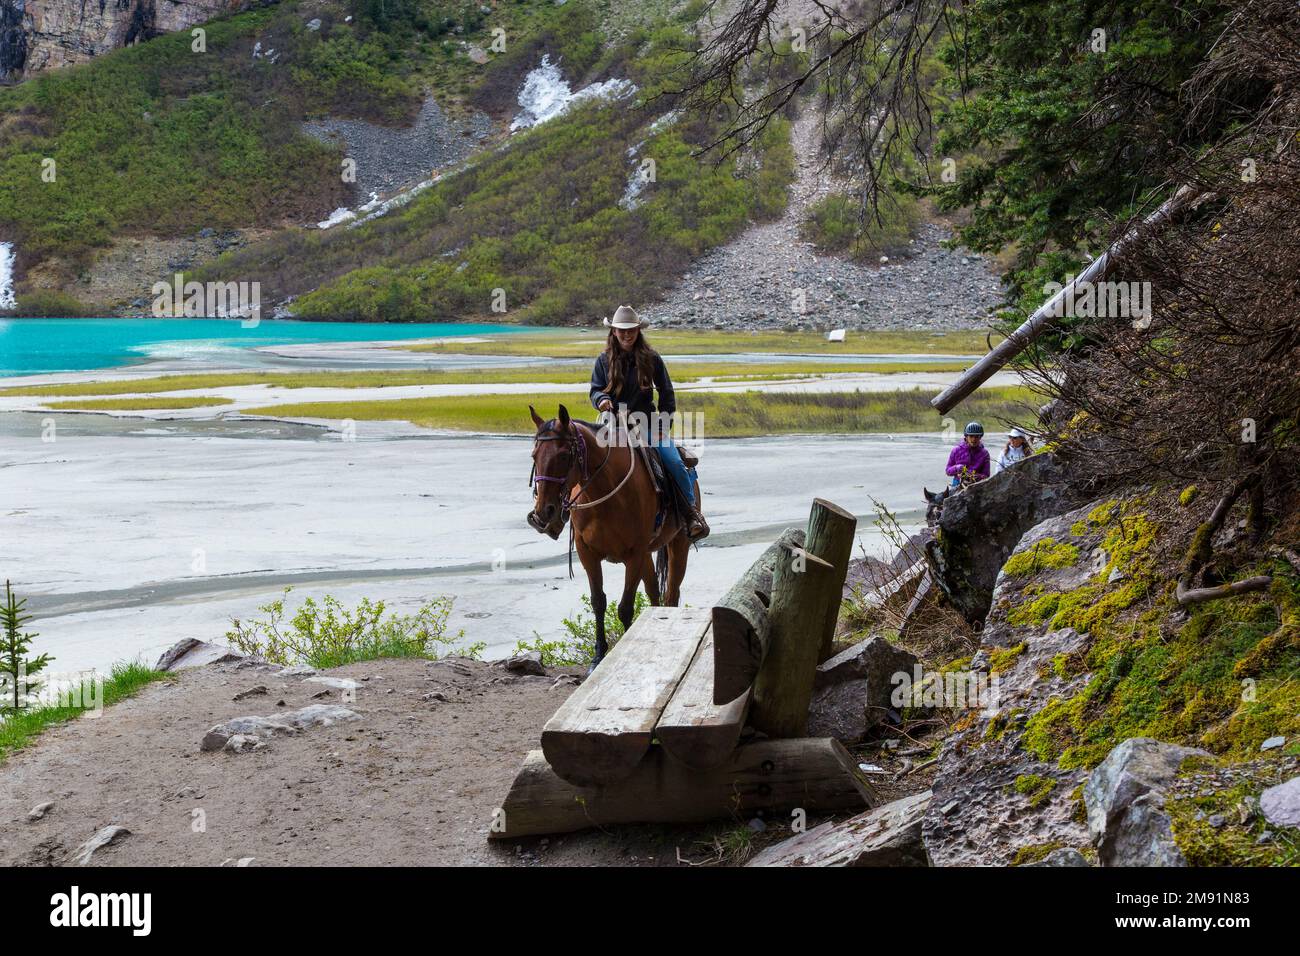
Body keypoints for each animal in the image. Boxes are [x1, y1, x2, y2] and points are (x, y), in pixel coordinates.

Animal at [526, 403, 696, 666]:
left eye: (564, 456)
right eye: (535, 455)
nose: (544, 512)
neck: (606, 493)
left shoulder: (634, 555)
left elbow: (625, 608)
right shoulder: (588, 553)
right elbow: (598, 602)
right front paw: (598, 656)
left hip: (679, 545)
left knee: (671, 595)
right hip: (648, 556)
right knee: (654, 594)